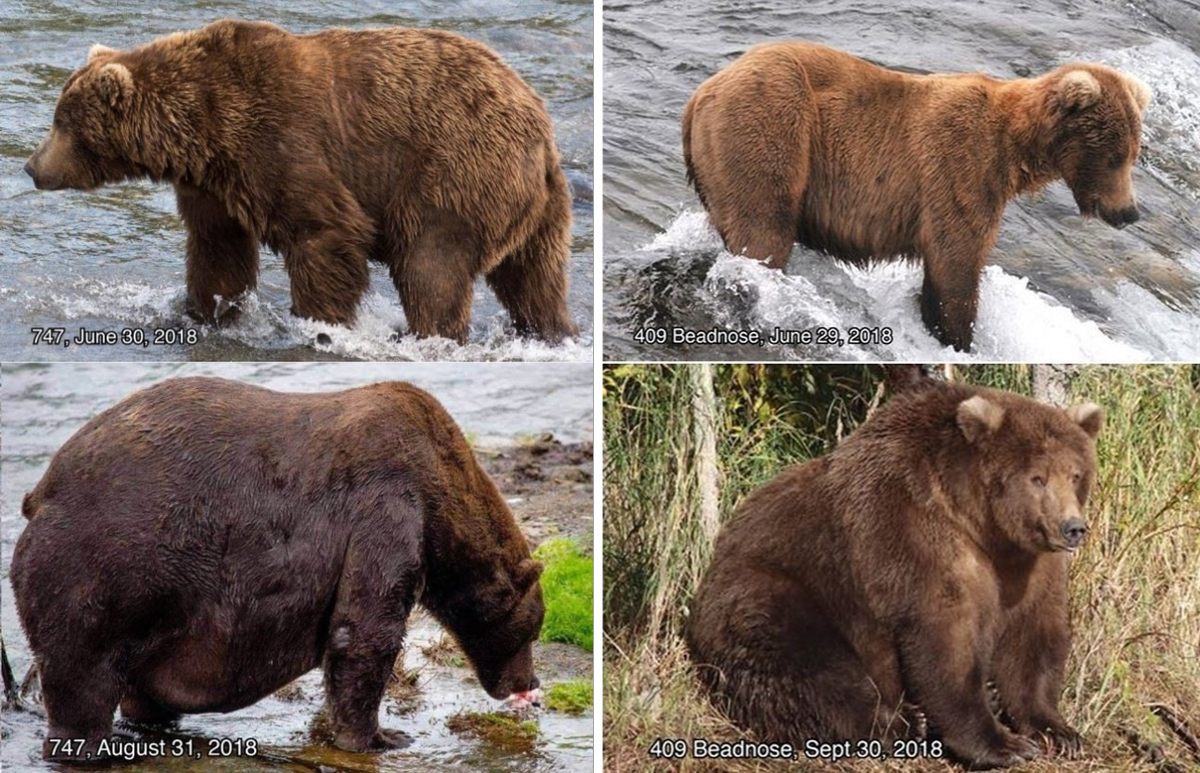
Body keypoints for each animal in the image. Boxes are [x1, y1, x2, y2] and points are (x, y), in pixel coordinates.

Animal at [8, 376, 544, 763]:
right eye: (533, 629)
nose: (531, 684)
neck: (442, 499)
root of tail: (41, 491)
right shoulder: (387, 507)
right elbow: (365, 630)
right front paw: (382, 736)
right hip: (103, 566)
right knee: (82, 671)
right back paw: (93, 747)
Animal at [23, 19, 576, 345]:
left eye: (61, 122)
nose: (31, 166)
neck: (201, 130)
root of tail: (542, 132)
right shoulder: (213, 185)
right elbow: (217, 250)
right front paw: (203, 312)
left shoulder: (280, 142)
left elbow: (323, 233)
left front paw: (319, 321)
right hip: (538, 209)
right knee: (534, 279)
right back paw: (551, 330)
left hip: (453, 170)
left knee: (430, 262)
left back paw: (426, 334)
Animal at [681, 43, 1147, 352]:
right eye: (1114, 156)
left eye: (1134, 153)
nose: (1129, 211)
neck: (1015, 152)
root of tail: (701, 94)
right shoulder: (960, 170)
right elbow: (956, 264)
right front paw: (959, 338)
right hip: (771, 124)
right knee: (763, 232)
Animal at [686, 379, 1104, 768]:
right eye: (1037, 477)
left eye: (1075, 474)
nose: (1072, 528)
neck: (982, 526)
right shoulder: (914, 535)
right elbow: (945, 640)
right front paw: (1003, 744)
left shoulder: (1029, 566)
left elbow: (1033, 637)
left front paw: (1057, 730)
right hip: (776, 591)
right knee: (812, 668)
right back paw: (901, 723)